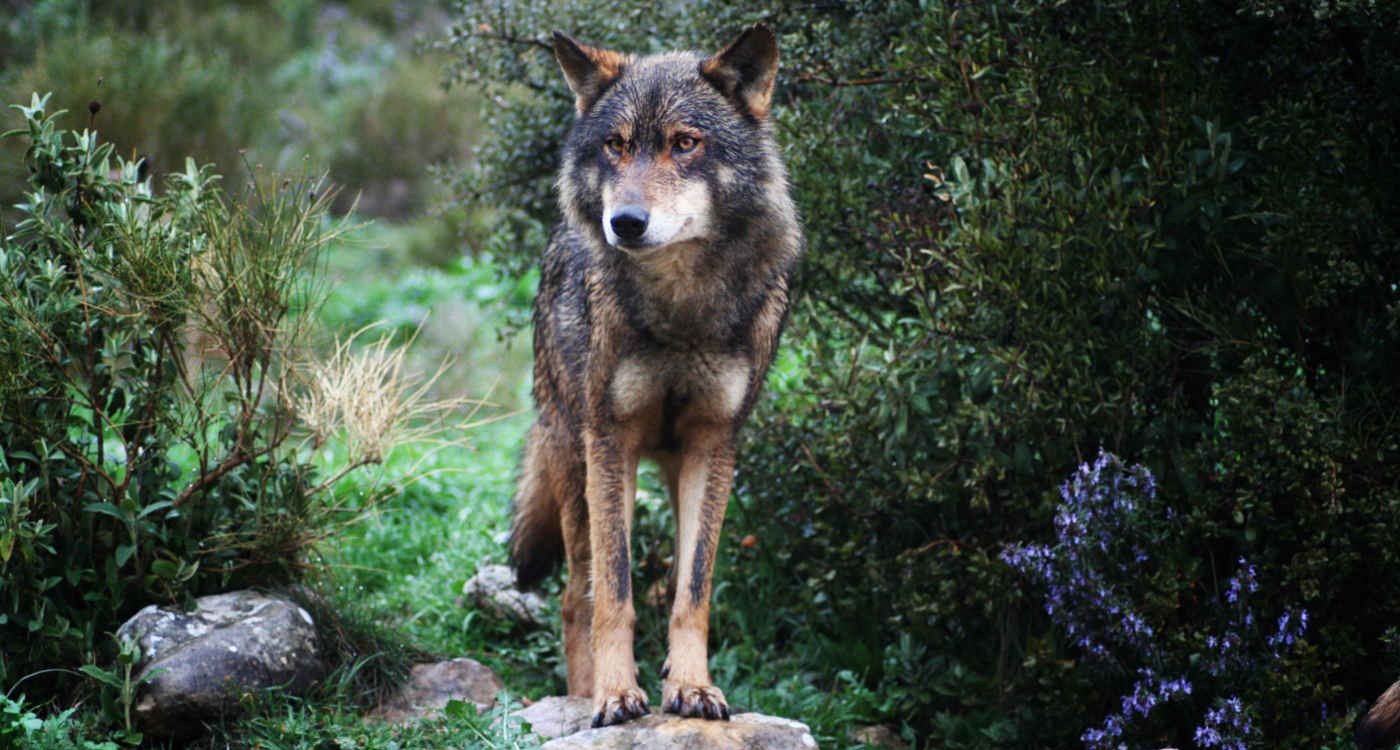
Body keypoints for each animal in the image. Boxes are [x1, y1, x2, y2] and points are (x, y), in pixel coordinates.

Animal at [509, 26, 806, 727]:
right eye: (616, 146)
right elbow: (614, 594)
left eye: (685, 143)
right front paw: (617, 694)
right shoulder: (610, 439)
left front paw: (693, 688)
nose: (625, 223)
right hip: (575, 463)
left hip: (667, 469)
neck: (682, 312)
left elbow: (691, 591)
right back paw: (583, 696)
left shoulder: (714, 443)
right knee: (575, 598)